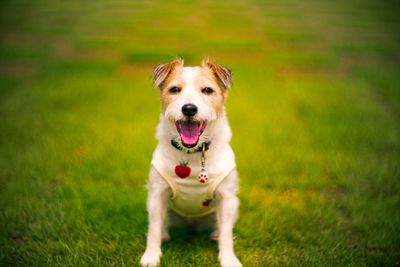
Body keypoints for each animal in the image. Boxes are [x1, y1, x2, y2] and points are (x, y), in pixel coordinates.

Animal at [139, 59, 242, 267]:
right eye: (175, 89)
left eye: (207, 90)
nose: (189, 109)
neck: (193, 154)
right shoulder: (157, 195)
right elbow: (153, 229)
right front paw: (151, 256)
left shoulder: (227, 197)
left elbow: (227, 234)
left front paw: (229, 259)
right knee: (161, 223)